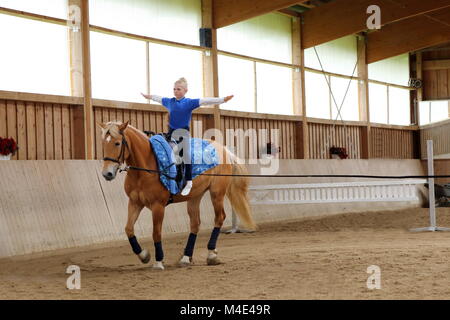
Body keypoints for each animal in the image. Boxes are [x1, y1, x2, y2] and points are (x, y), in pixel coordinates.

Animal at [97, 121, 256, 268]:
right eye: (103, 144)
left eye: (117, 143)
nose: (107, 173)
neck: (146, 167)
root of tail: (223, 150)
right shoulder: (135, 203)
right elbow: (128, 229)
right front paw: (144, 255)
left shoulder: (158, 206)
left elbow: (156, 232)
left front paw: (158, 261)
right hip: (195, 196)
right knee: (195, 224)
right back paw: (186, 257)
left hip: (217, 193)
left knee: (219, 217)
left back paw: (211, 254)